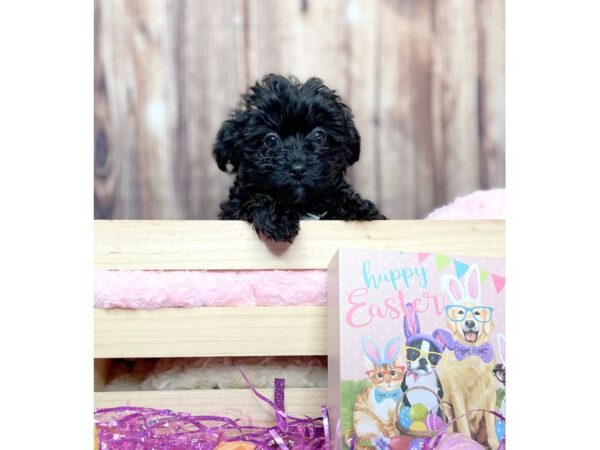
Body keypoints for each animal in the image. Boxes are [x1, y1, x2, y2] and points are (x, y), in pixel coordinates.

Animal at [213, 74, 386, 243]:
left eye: (318, 135)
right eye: (271, 140)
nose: (298, 170)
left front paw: (357, 207)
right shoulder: (232, 210)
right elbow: (252, 198)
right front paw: (277, 216)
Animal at [436, 264, 502, 450]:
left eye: (477, 314)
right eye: (460, 312)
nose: (470, 323)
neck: (472, 352)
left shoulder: (490, 393)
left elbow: (490, 424)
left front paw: (495, 444)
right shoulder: (457, 394)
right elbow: (463, 422)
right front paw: (465, 441)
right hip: (446, 407)